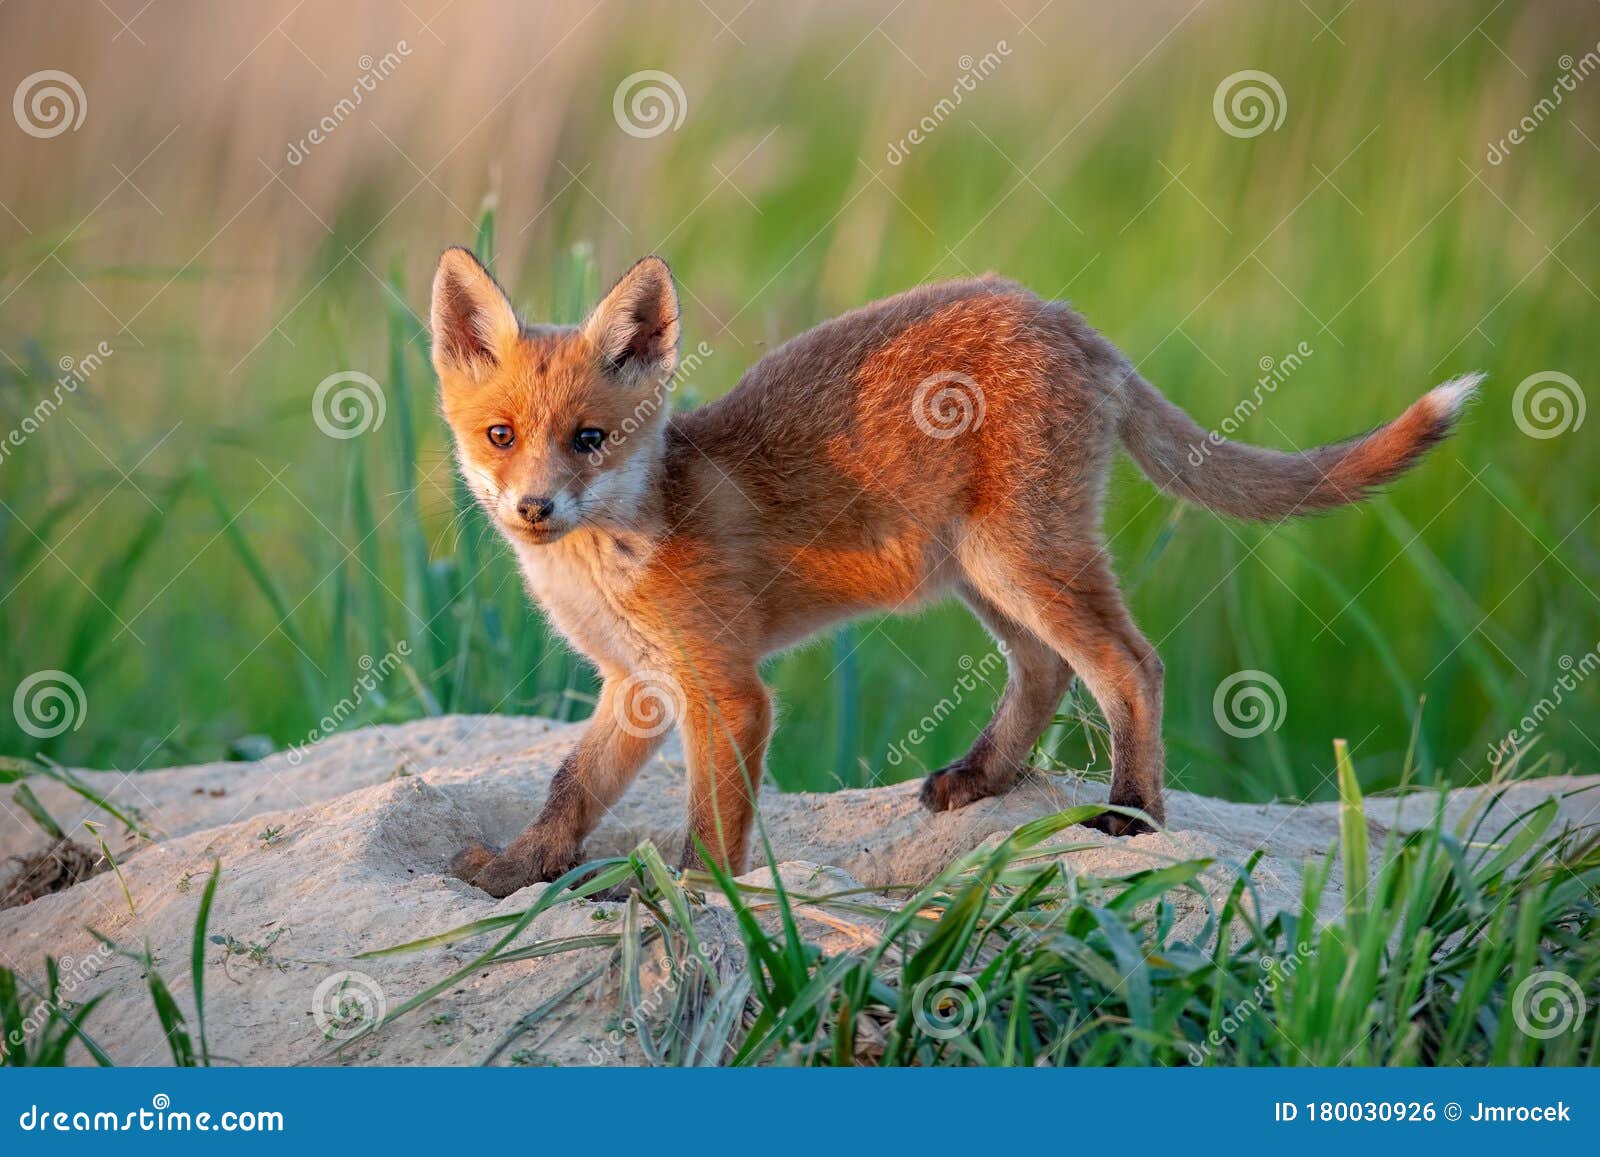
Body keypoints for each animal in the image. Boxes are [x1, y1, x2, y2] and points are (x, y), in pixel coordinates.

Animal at [432, 241, 1478, 896]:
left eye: (590, 439)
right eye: (501, 435)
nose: (534, 510)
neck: (620, 553)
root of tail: (1064, 315)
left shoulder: (727, 688)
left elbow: (712, 826)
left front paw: (697, 903)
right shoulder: (639, 685)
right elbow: (571, 785)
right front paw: (518, 870)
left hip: (1023, 560)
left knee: (1131, 664)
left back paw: (1133, 812)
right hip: (983, 575)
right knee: (1048, 669)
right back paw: (984, 777)